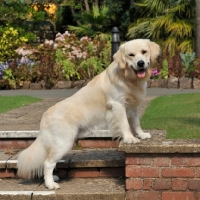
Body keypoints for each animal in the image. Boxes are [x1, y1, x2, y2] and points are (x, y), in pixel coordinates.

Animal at [18, 38, 160, 189]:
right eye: (131, 55)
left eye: (144, 52)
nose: (141, 63)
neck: (128, 78)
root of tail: (45, 116)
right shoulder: (118, 105)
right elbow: (125, 125)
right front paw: (130, 139)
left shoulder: (132, 107)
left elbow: (136, 123)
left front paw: (142, 135)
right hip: (63, 143)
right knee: (47, 163)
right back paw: (51, 185)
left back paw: (53, 179)